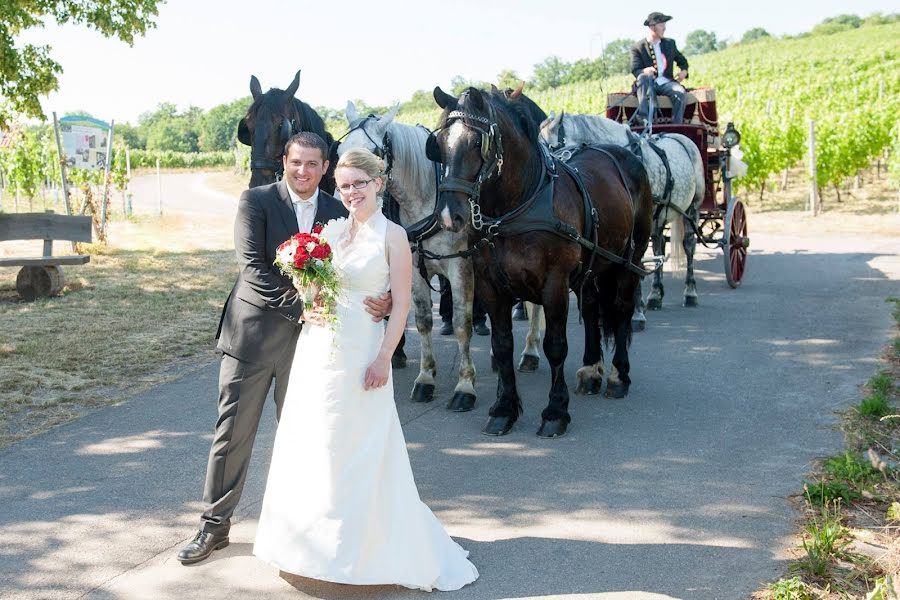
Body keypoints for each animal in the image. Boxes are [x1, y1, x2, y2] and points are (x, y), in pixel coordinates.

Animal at [336, 103, 478, 412]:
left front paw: (465, 385)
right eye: (339, 150)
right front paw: (426, 378)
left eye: (373, 152)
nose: (342, 192)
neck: (428, 201)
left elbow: (462, 324)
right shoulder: (413, 268)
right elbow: (423, 321)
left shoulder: (461, 266)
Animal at [428, 86, 652, 438]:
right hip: (593, 267)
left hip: (629, 260)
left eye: (478, 142)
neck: (513, 210)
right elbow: (502, 345)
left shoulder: (554, 284)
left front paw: (555, 412)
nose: (450, 216)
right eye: (438, 145)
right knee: (592, 310)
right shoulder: (491, 287)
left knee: (621, 310)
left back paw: (618, 376)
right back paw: (591, 370)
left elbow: (555, 345)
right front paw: (504, 409)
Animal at [536, 111, 708, 328]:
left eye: (549, 145)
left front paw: (637, 313)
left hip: (692, 208)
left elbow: (634, 265)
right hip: (657, 220)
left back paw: (690, 292)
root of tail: (681, 137)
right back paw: (656, 294)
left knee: (689, 245)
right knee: (659, 245)